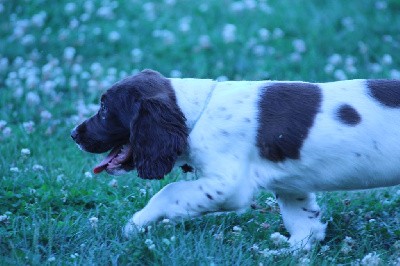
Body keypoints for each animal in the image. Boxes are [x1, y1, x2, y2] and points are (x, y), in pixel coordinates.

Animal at [72, 68, 400, 249]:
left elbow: (168, 192)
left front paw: (138, 223)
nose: (74, 134)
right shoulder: (291, 184)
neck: (197, 112)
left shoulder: (228, 185)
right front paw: (290, 250)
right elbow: (303, 222)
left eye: (105, 109)